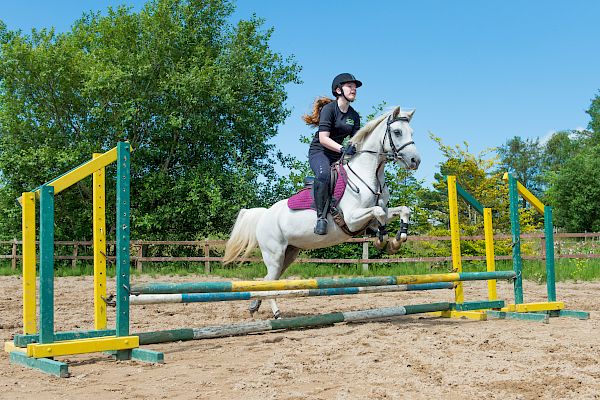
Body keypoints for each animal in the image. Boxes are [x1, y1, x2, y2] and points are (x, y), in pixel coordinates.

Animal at [223, 107, 420, 318]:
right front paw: (382, 240)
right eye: (397, 132)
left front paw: (397, 240)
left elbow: (402, 210)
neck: (370, 175)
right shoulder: (352, 219)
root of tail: (265, 214)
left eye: (412, 132)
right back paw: (277, 314)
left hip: (289, 253)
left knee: (270, 280)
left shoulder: (376, 213)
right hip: (274, 254)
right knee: (271, 282)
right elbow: (379, 214)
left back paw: (255, 306)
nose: (415, 161)